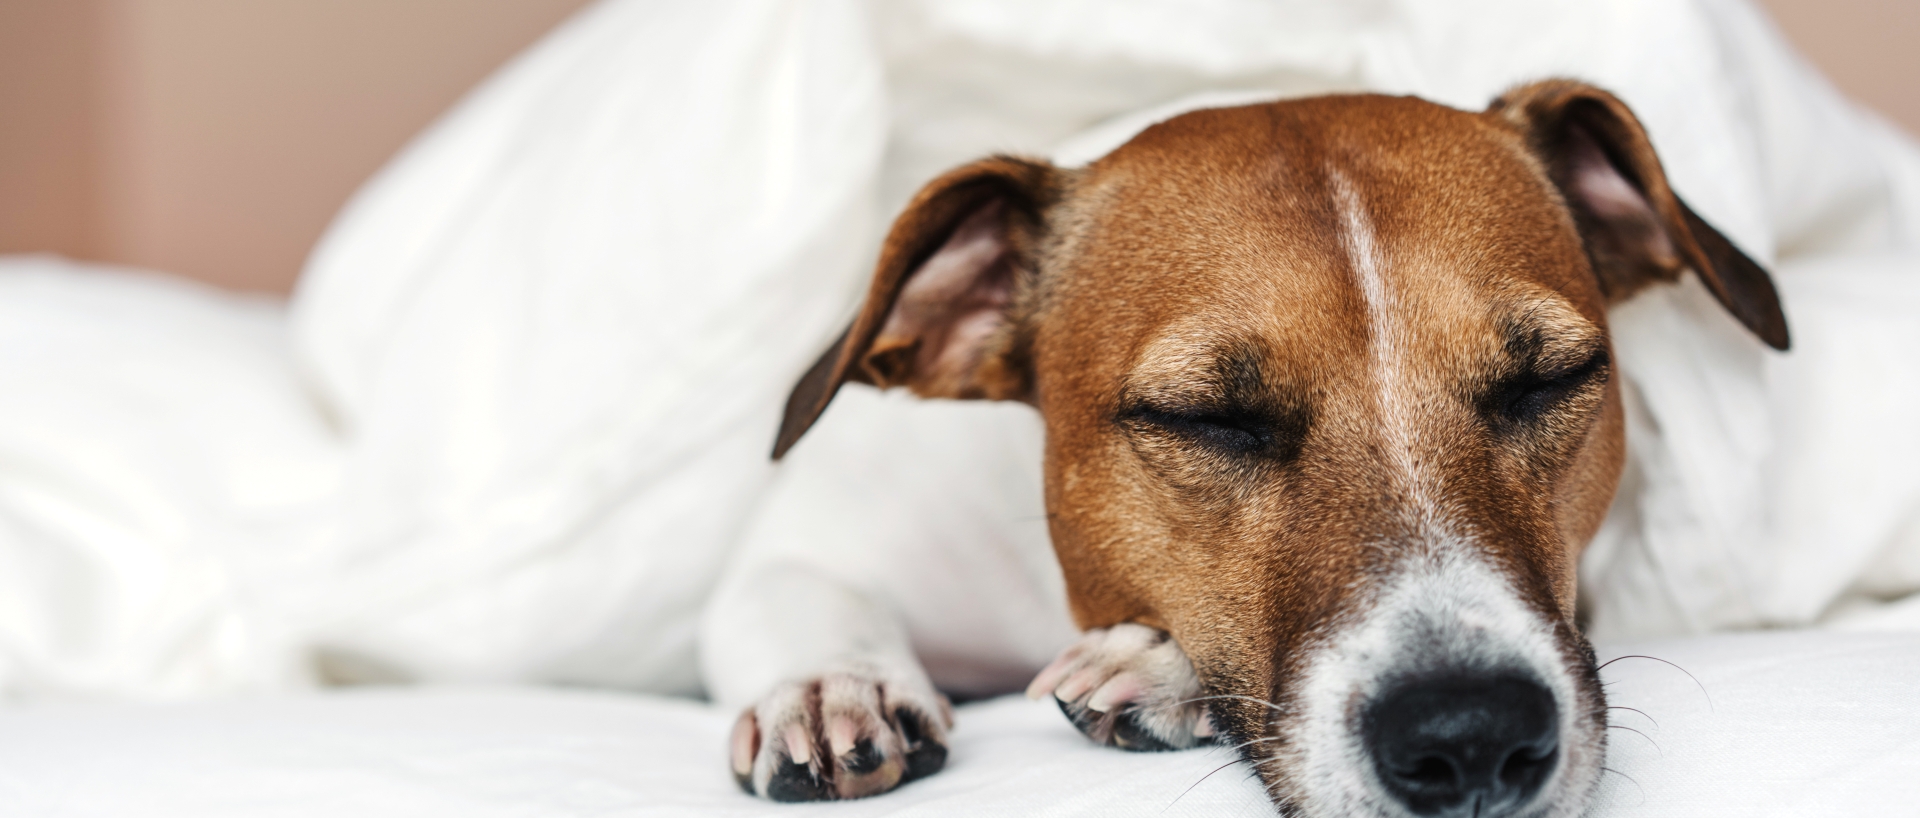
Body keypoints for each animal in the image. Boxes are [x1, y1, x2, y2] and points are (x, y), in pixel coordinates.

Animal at [718, 81, 1781, 818]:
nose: (1471, 736)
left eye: (1548, 381)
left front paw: (1159, 671)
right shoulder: (809, 545)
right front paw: (829, 689)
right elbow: (801, 592)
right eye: (1207, 417)